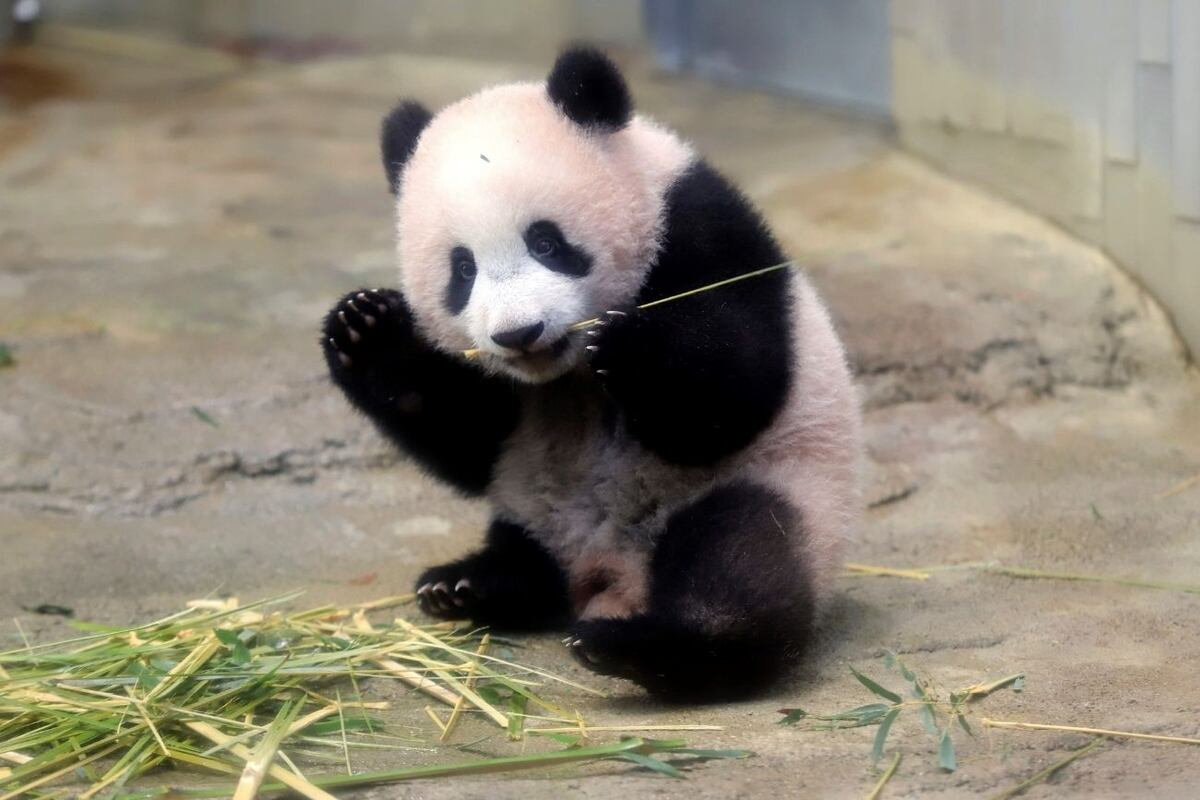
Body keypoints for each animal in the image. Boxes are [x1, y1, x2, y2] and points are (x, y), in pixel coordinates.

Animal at [322, 47, 861, 701]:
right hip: (532, 505)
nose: (519, 333)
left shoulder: (699, 226)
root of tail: (606, 576)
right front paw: (365, 327)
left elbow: (735, 393)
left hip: (779, 487)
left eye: (546, 242)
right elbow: (468, 438)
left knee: (737, 561)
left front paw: (627, 344)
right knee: (529, 563)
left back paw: (640, 646)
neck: (566, 373)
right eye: (462, 269)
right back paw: (469, 585)